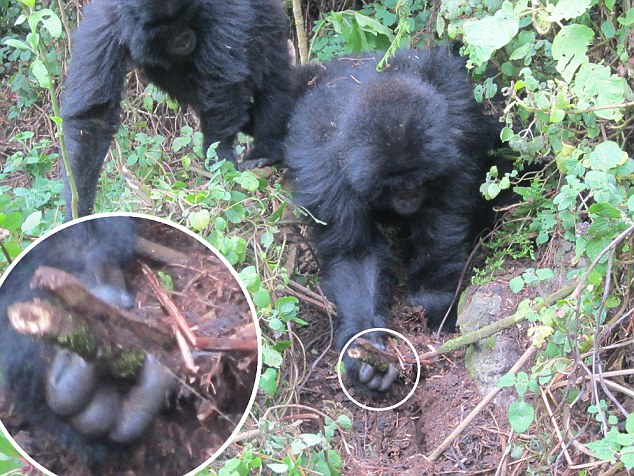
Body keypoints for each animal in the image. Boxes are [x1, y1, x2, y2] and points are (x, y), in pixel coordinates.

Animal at [61, 0, 292, 217]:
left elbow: (222, 82)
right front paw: (78, 207)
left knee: (273, 78)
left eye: (188, 18)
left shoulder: (219, 11)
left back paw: (266, 150)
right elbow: (93, 119)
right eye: (164, 30)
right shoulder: (105, 28)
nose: (183, 38)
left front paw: (220, 158)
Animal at [284, 48, 502, 394]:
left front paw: (432, 304)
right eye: (393, 184)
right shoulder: (326, 174)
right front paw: (364, 345)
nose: (409, 194)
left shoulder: (452, 142)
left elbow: (440, 225)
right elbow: (354, 256)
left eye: (416, 178)